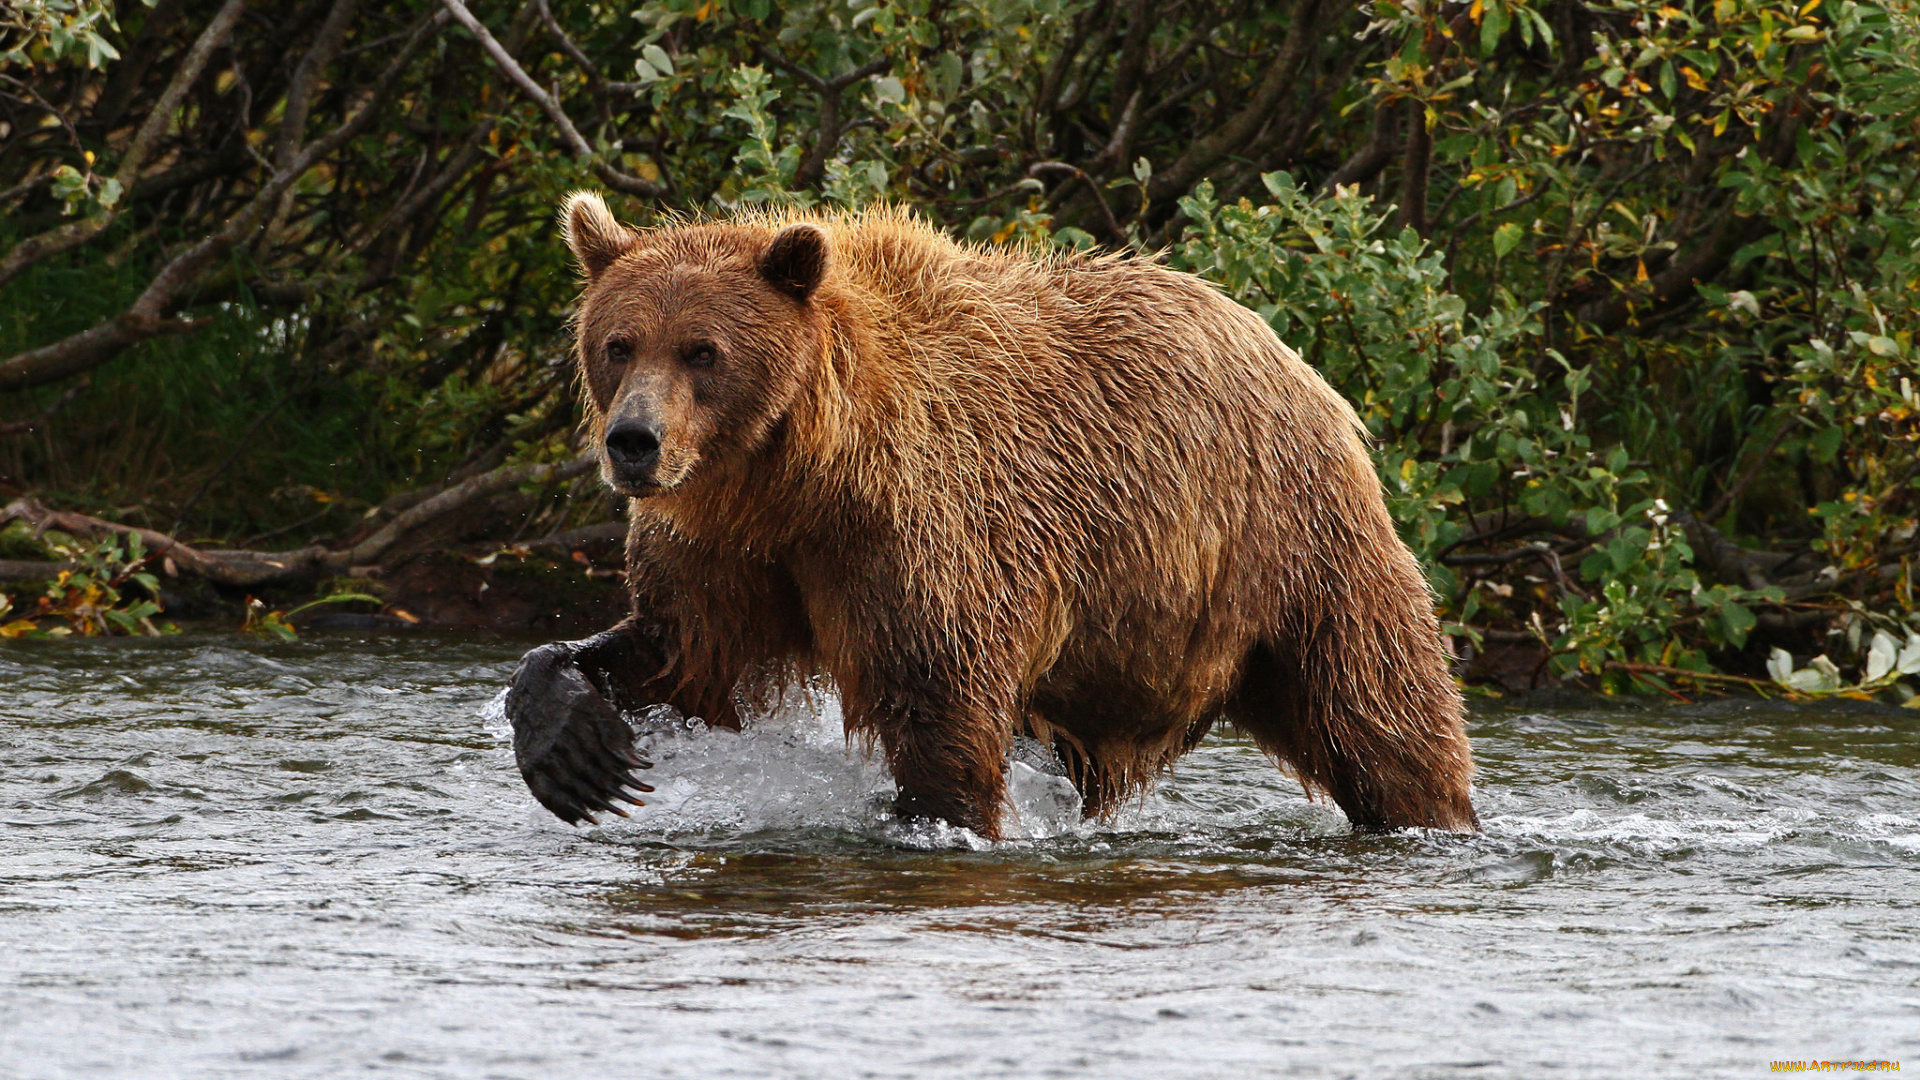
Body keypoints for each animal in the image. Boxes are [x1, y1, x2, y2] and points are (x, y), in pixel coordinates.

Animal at [503, 191, 1474, 834]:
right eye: (618, 343)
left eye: (703, 351)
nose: (634, 441)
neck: (797, 476)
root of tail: (1287, 349)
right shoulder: (731, 550)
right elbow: (682, 653)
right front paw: (578, 749)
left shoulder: (920, 533)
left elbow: (939, 704)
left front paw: (937, 818)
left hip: (1289, 546)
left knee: (1378, 706)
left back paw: (1430, 814)